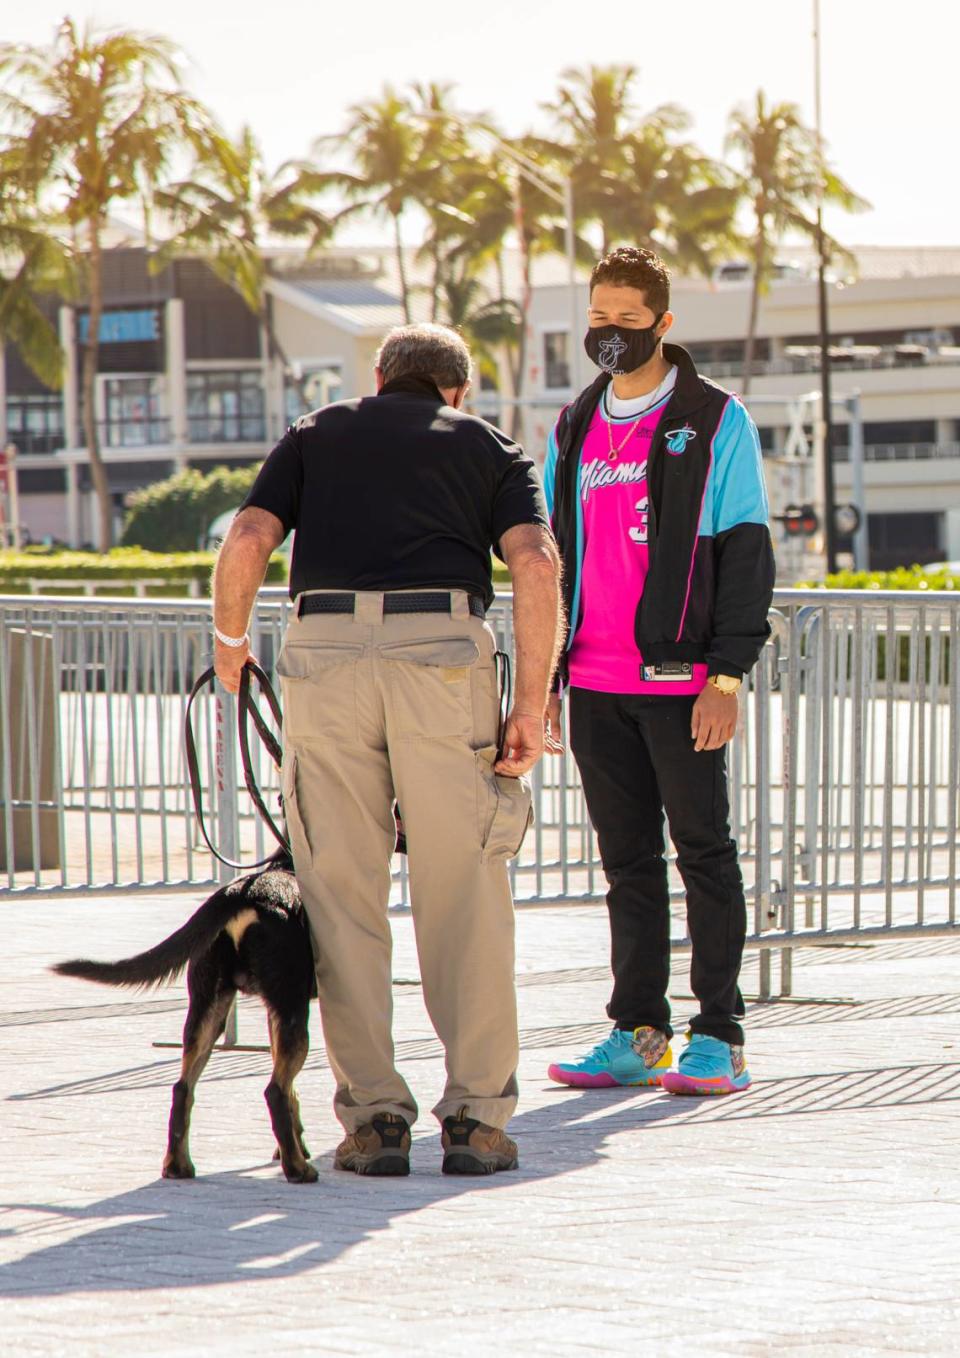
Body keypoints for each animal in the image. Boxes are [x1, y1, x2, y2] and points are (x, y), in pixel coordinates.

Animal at [52, 852, 317, 1184]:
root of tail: (241, 894)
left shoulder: (274, 1014)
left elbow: (295, 1091)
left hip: (208, 1010)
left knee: (182, 1089)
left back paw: (177, 1165)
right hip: (289, 1011)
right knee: (275, 1091)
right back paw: (297, 1168)